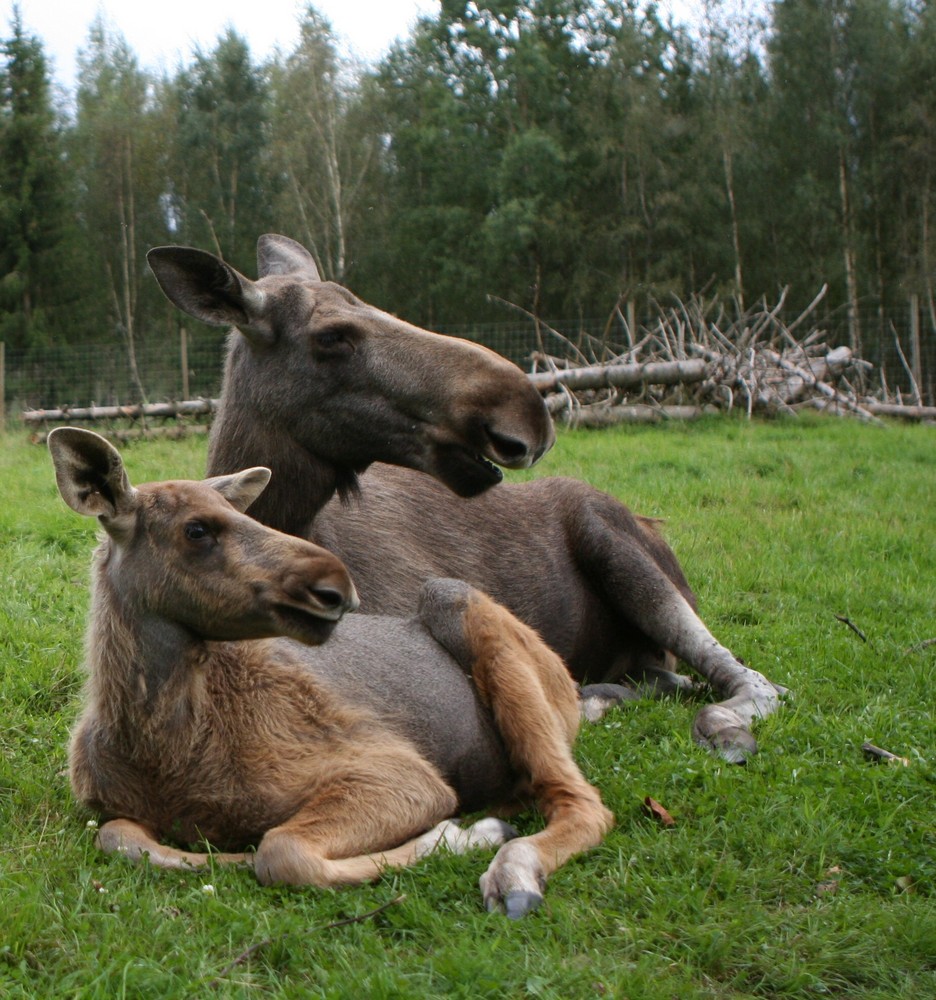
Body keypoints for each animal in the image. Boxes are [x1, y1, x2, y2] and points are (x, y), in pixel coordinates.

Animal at [49, 426, 616, 916]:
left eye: (242, 513)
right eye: (196, 529)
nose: (335, 587)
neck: (163, 755)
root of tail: (567, 684)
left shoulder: (402, 773)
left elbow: (279, 851)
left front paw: (460, 834)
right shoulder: (105, 807)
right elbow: (119, 836)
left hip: (461, 605)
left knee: (584, 803)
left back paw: (513, 873)